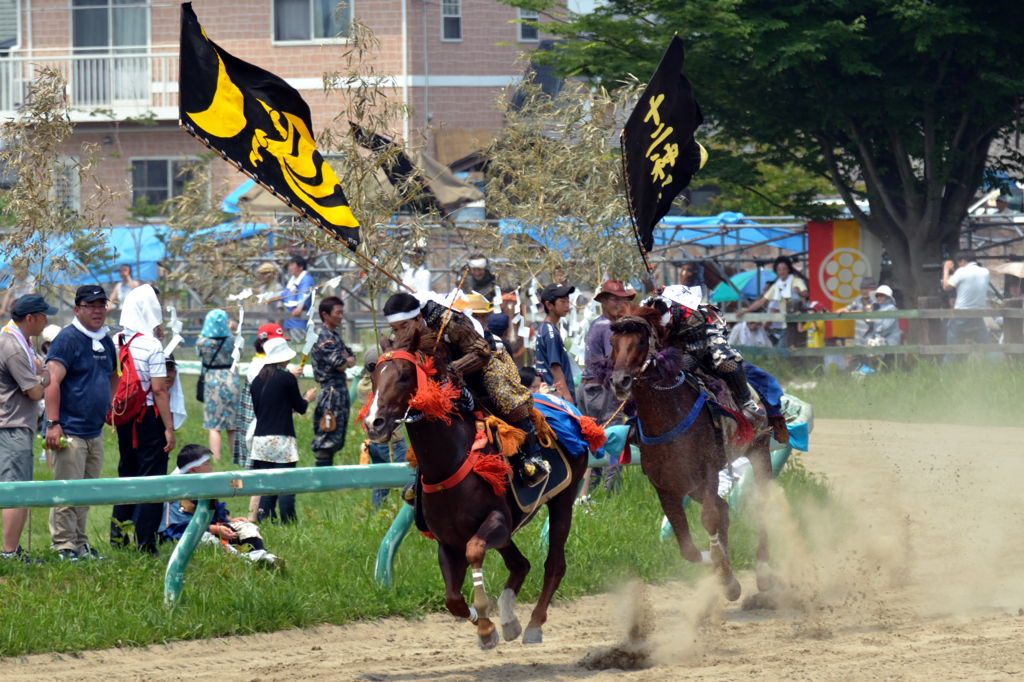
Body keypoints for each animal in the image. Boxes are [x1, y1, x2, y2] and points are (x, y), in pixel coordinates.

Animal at [364, 323, 589, 647]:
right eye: (373, 375)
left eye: (404, 375)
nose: (374, 423)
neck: (448, 461)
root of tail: (570, 408)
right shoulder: (447, 541)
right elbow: (452, 600)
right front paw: (486, 626)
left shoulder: (497, 521)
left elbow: (475, 551)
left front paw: (485, 618)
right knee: (520, 564)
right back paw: (509, 620)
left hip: (563, 500)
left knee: (554, 564)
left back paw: (534, 624)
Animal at [606, 305, 774, 598]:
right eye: (613, 343)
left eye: (641, 341)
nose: (620, 381)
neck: (668, 417)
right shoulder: (665, 486)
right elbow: (687, 547)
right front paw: (722, 570)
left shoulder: (708, 473)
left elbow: (709, 518)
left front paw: (723, 568)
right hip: (690, 484)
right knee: (724, 508)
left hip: (759, 451)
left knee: (758, 505)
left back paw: (763, 569)